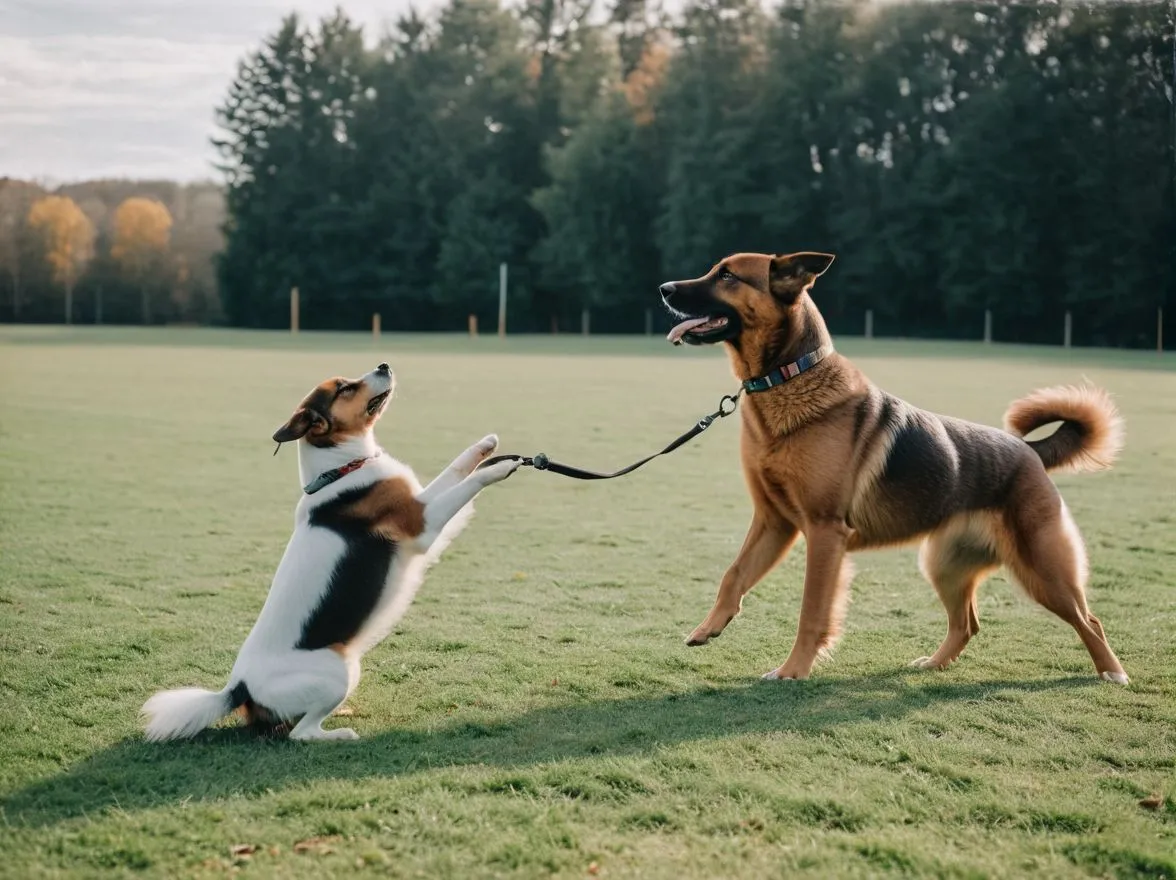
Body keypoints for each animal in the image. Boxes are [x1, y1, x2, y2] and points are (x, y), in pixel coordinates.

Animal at [141, 360, 519, 738]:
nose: (384, 364)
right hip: (340, 670)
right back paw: (341, 733)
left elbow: (456, 468)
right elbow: (468, 484)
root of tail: (239, 687)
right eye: (344, 389)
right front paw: (502, 467)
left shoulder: (420, 502)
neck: (340, 469)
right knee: (301, 733)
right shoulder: (422, 522)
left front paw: (486, 446)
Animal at [663, 250, 1128, 682]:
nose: (664, 289)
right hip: (945, 568)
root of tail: (1028, 450)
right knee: (967, 624)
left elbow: (811, 611)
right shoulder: (773, 521)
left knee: (1090, 620)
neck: (790, 377)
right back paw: (935, 664)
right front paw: (708, 627)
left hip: (1043, 570)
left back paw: (1112, 673)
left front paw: (793, 671)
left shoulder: (824, 532)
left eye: (727, 275)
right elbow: (734, 574)